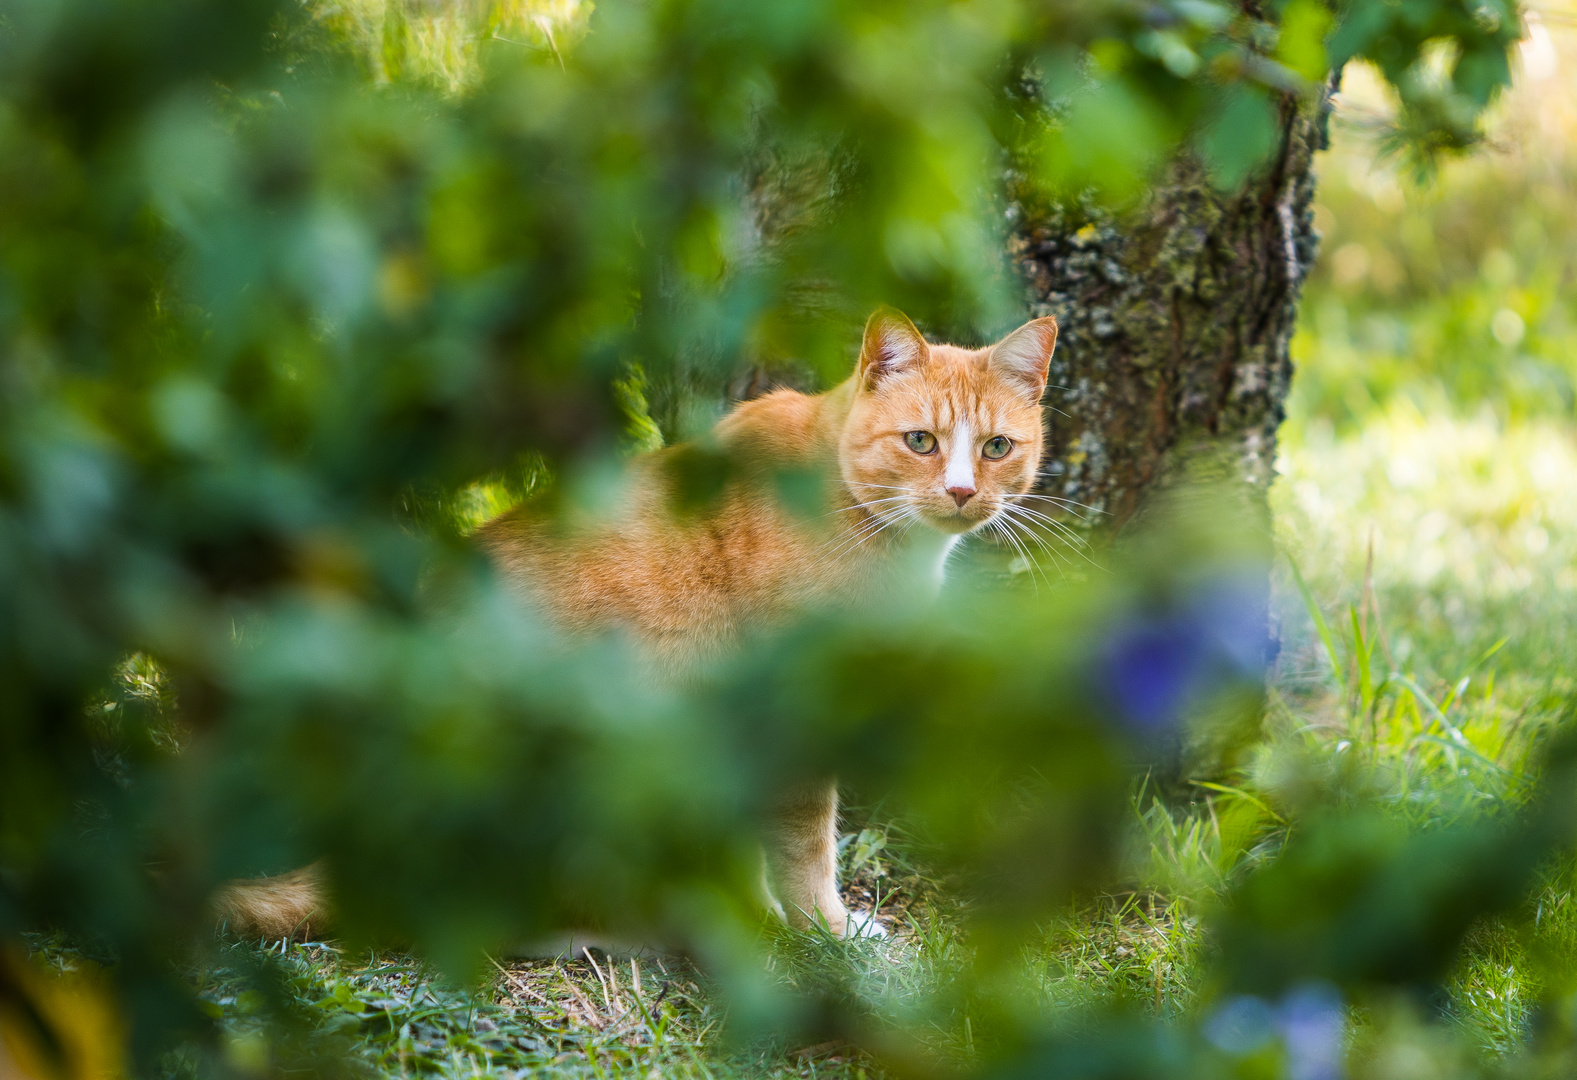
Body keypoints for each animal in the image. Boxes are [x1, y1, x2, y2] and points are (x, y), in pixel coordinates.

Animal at [216, 307, 1053, 939]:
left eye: (996, 447)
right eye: (920, 441)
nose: (962, 494)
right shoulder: (788, 708)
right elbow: (806, 841)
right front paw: (824, 928)